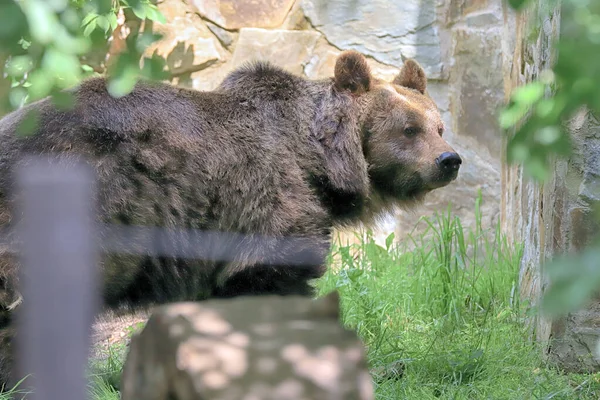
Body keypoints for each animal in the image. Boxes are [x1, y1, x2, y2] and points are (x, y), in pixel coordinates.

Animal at [0, 50, 462, 388]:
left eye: (438, 125)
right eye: (408, 128)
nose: (450, 160)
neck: (316, 159)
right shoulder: (268, 203)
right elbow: (272, 278)